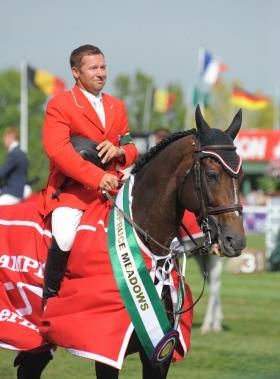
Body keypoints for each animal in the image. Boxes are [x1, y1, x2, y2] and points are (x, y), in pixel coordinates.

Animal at [8, 104, 245, 379]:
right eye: (211, 174)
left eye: (241, 176)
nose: (236, 240)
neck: (146, 251)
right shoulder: (106, 350)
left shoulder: (159, 353)